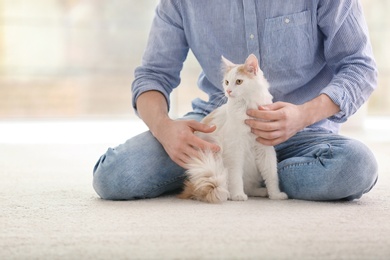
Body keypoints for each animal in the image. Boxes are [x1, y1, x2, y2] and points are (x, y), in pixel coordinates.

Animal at [179, 53, 286, 203]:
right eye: (227, 82)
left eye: (239, 81)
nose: (228, 91)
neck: (246, 107)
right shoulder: (235, 150)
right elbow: (236, 177)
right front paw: (237, 195)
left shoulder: (265, 148)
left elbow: (271, 175)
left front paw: (275, 195)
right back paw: (231, 194)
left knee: (250, 186)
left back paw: (261, 191)